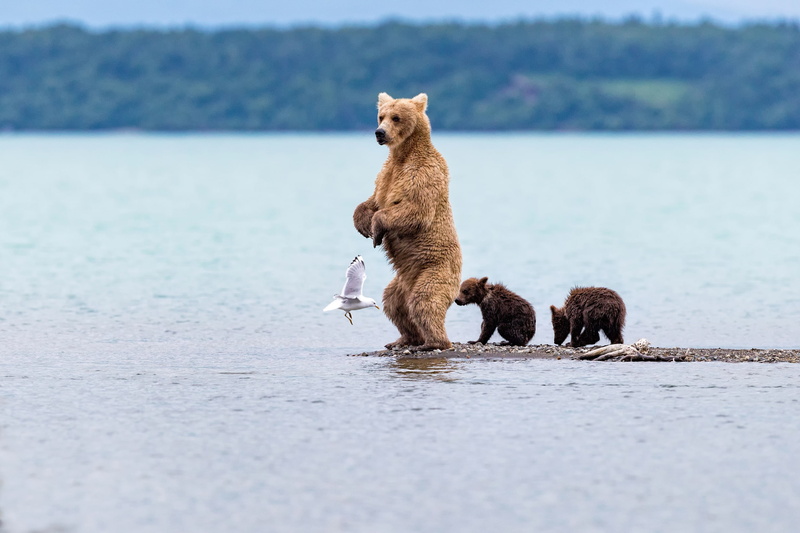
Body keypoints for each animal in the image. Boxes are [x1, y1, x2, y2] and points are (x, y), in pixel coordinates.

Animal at [353, 92, 462, 351]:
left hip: (435, 270)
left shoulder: (422, 174)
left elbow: (414, 211)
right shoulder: (386, 175)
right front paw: (362, 224)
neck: (404, 155)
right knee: (395, 304)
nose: (379, 132)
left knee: (425, 301)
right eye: (380, 116)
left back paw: (433, 342)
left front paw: (376, 230)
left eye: (396, 117)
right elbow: (372, 201)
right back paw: (403, 339)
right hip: (401, 282)